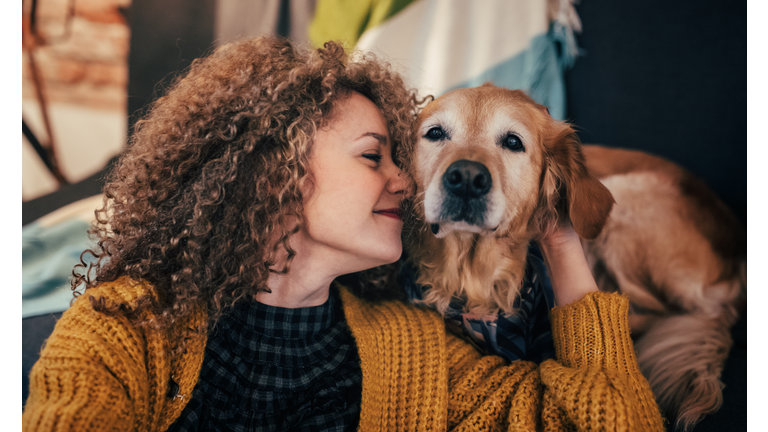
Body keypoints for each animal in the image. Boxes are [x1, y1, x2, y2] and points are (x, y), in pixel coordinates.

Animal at [404, 82, 748, 430]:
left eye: (513, 142)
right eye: (435, 133)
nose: (466, 178)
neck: (474, 278)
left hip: (624, 203)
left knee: (682, 311)